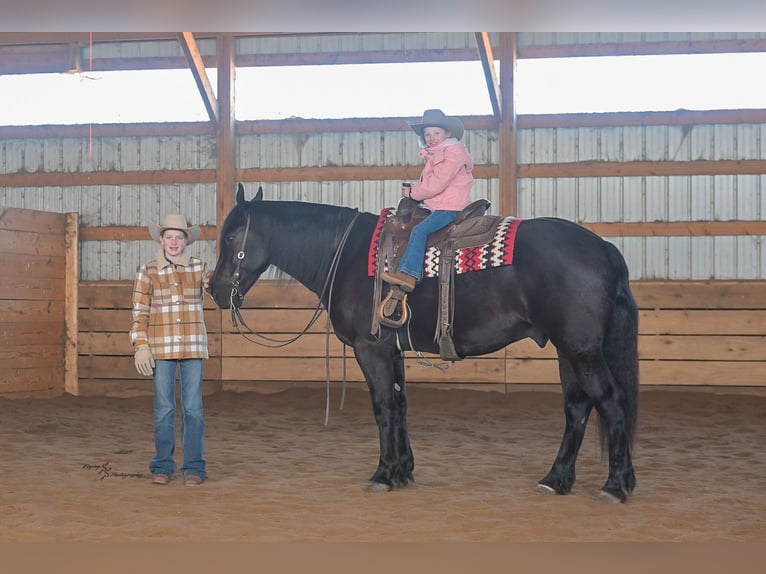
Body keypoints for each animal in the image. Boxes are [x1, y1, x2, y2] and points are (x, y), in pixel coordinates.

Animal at [208, 183, 639, 502]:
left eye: (230, 236)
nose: (214, 289)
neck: (344, 253)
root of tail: (603, 247)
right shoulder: (392, 349)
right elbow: (400, 405)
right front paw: (403, 470)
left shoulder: (371, 348)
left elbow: (383, 406)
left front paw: (384, 473)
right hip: (569, 350)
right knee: (577, 406)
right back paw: (556, 478)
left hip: (581, 350)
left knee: (611, 400)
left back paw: (615, 485)